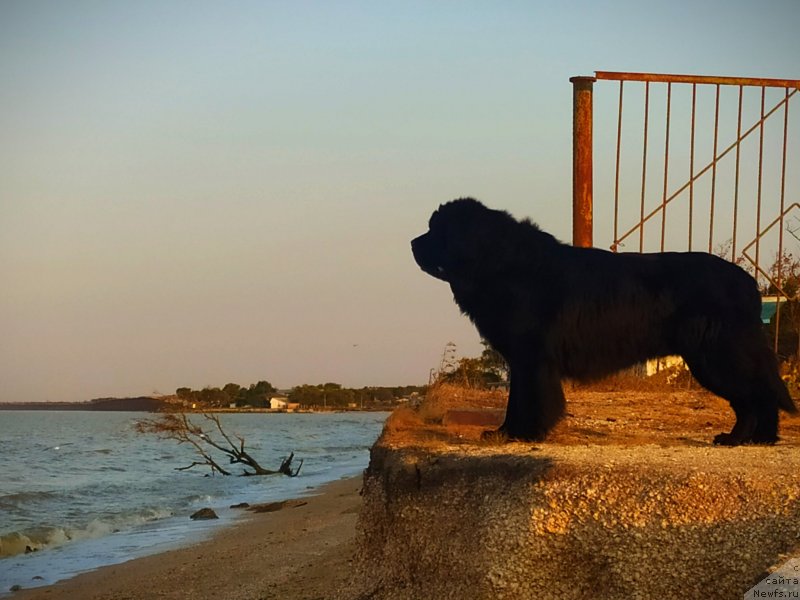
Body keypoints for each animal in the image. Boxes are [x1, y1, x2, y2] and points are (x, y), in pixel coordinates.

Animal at [410, 198, 796, 446]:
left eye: (436, 230)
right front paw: (507, 433)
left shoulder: (533, 359)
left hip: (717, 357)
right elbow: (516, 400)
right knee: (753, 397)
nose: (412, 242)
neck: (501, 263)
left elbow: (533, 399)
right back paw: (751, 439)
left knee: (757, 396)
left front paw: (528, 434)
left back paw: (747, 439)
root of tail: (746, 282)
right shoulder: (522, 360)